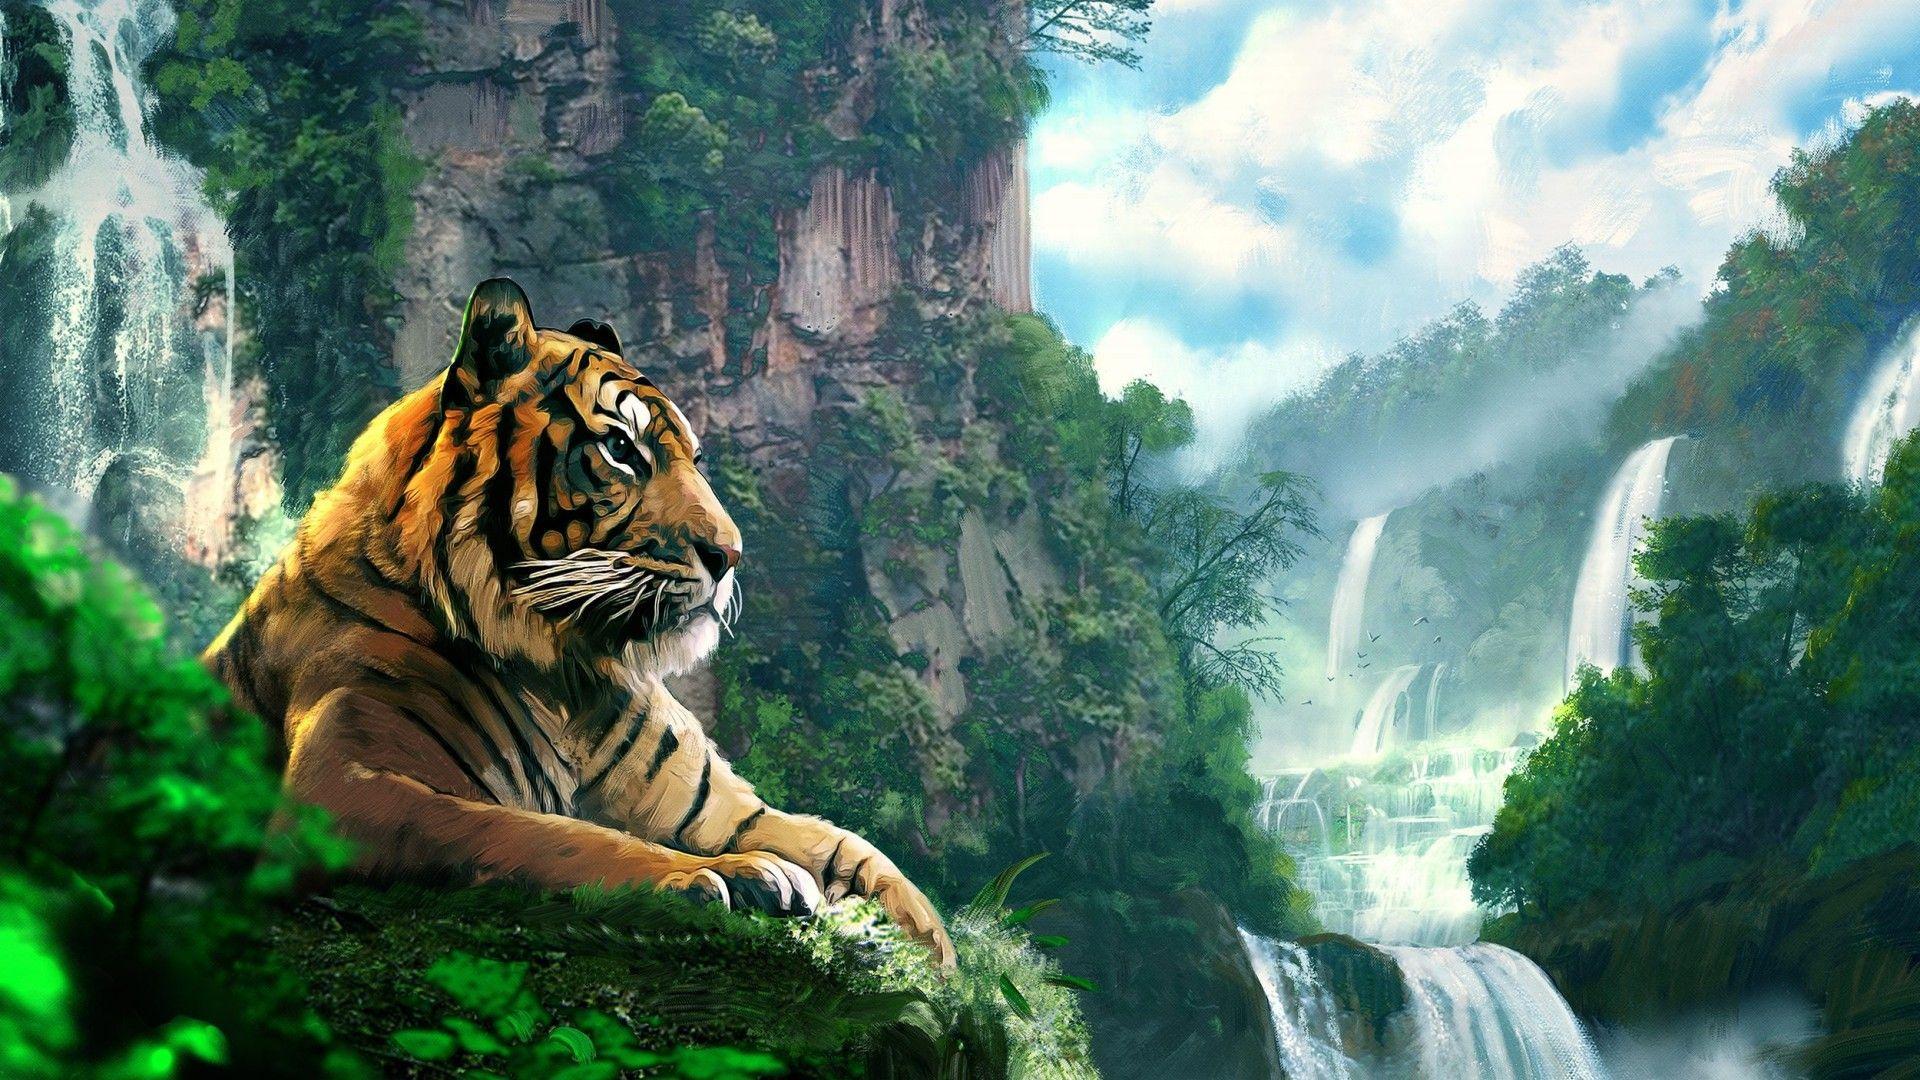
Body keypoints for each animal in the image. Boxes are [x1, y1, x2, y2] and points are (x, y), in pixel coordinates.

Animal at [204, 277, 953, 965]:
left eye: (695, 458)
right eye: (622, 449)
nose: (731, 554)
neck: (568, 672)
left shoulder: (722, 809)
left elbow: (854, 851)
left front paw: (940, 958)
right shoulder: (345, 787)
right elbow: (542, 834)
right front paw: (723, 876)